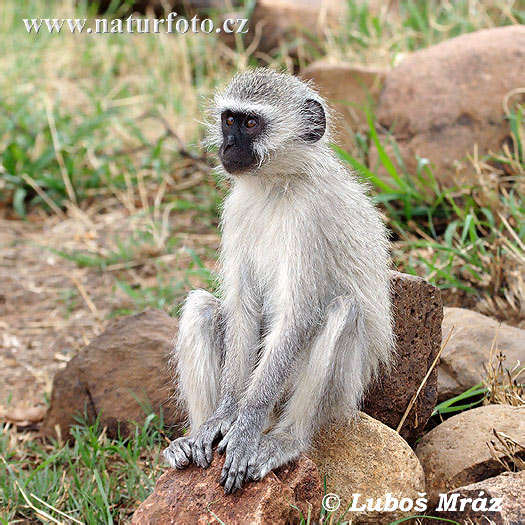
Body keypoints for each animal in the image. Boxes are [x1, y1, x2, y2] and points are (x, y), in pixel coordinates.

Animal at [164, 68, 392, 492]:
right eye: (229, 120)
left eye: (251, 124)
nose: (228, 145)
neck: (276, 184)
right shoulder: (236, 210)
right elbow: (242, 308)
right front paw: (223, 416)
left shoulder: (311, 218)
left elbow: (297, 316)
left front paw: (246, 426)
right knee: (201, 306)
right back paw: (192, 437)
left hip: (340, 393)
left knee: (343, 310)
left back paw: (285, 438)